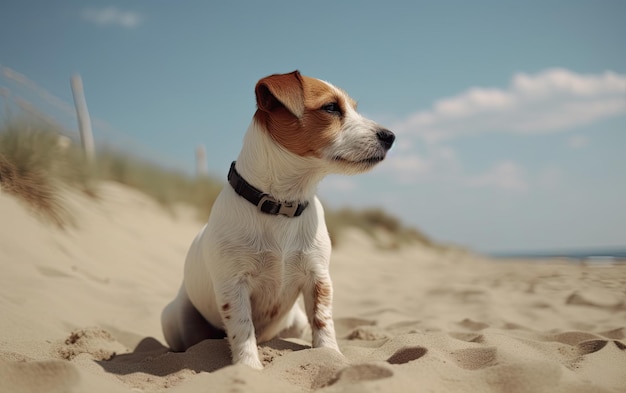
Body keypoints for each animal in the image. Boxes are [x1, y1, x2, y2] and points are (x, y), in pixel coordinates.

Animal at [162, 70, 394, 368]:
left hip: (294, 321)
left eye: (354, 108)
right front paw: (249, 368)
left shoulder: (319, 277)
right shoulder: (233, 285)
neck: (282, 204)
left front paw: (331, 356)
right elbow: (242, 330)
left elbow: (323, 322)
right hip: (174, 319)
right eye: (331, 107)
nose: (391, 136)